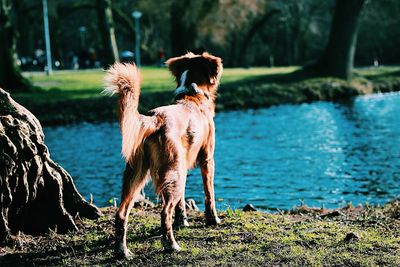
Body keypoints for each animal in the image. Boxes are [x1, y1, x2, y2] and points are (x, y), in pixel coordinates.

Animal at [104, 51, 223, 258]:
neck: (193, 95)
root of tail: (154, 118)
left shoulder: (183, 168)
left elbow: (181, 202)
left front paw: (182, 221)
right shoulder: (208, 159)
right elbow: (210, 194)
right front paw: (213, 219)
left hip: (138, 175)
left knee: (121, 213)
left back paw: (122, 251)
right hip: (174, 170)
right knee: (164, 211)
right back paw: (171, 244)